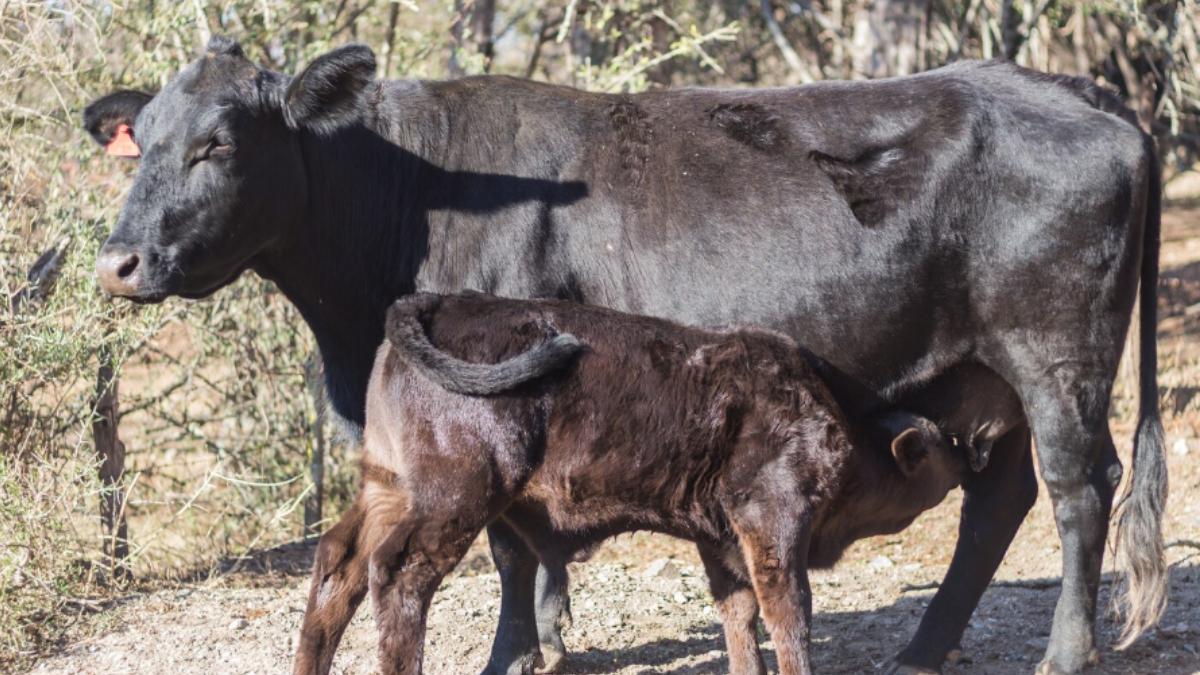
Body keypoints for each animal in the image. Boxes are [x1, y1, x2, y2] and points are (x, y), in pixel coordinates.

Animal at [298, 291, 971, 675]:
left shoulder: (721, 540)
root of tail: (438, 301)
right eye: (941, 445)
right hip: (455, 497)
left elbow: (739, 617)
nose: (974, 453)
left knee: (338, 560)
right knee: (398, 574)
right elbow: (788, 616)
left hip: (389, 487)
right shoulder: (772, 523)